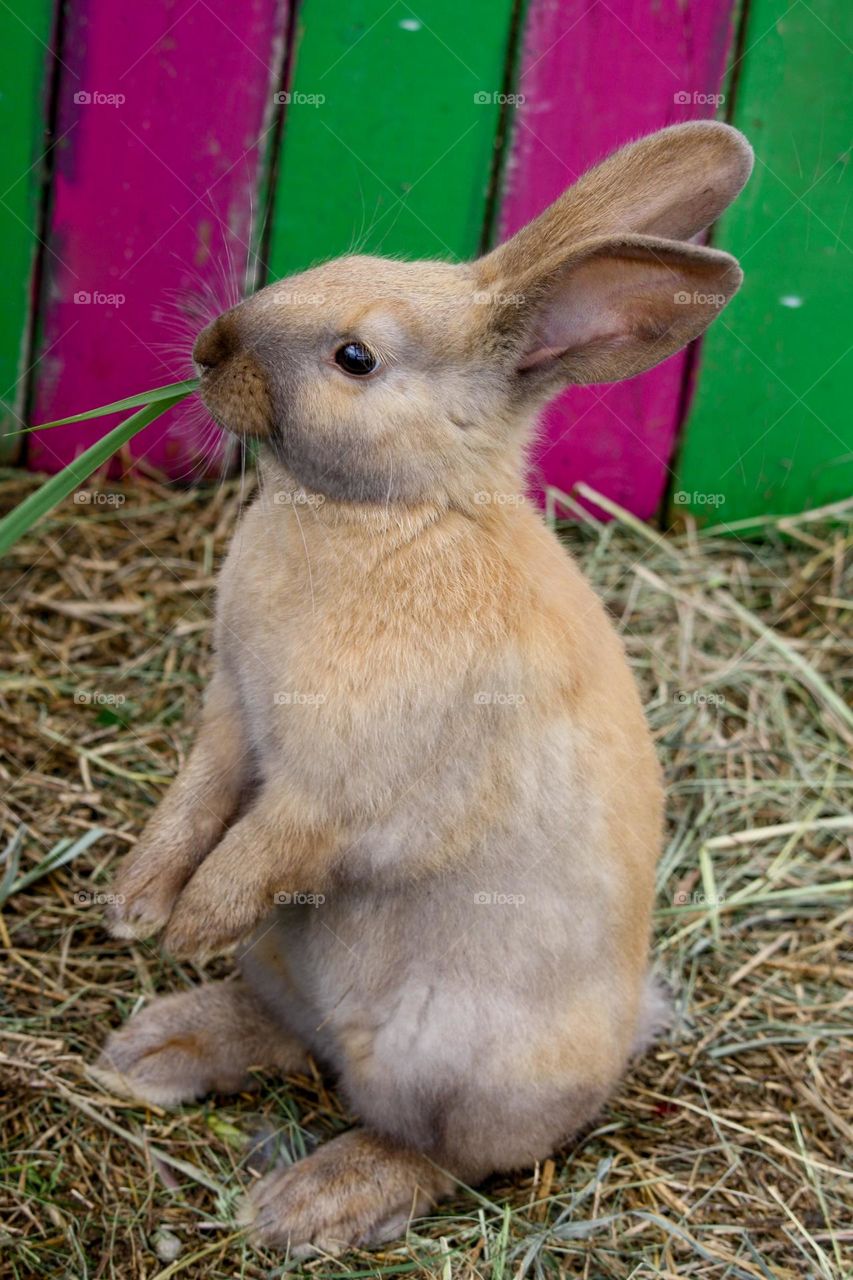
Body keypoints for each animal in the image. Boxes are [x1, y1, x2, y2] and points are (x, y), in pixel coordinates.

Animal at [94, 122, 753, 1259]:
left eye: (356, 357)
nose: (211, 346)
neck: (393, 517)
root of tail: (618, 1041)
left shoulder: (330, 790)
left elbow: (263, 847)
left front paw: (189, 927)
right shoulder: (233, 719)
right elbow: (194, 802)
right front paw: (138, 907)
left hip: (443, 1062)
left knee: (441, 1152)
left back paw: (308, 1200)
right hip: (291, 961)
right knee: (290, 1037)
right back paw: (151, 1051)